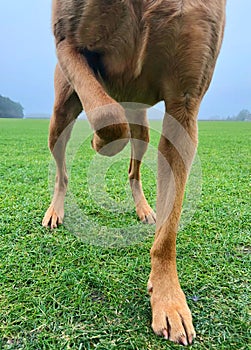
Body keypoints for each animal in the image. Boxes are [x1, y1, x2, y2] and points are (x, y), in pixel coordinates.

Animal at [42, 0, 226, 344]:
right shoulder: (68, 43)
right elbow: (107, 116)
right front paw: (98, 141)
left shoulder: (185, 101)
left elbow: (168, 231)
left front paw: (168, 301)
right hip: (61, 111)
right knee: (63, 170)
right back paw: (55, 210)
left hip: (141, 125)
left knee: (133, 170)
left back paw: (143, 209)